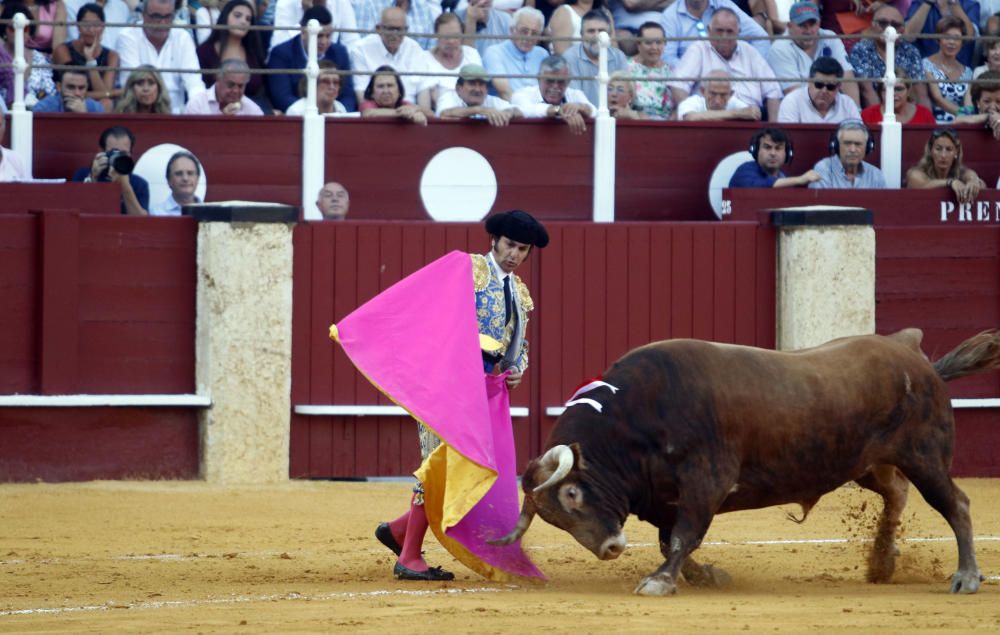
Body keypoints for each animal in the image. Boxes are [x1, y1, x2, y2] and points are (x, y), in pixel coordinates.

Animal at [494, 328, 1000, 596]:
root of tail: (913, 354)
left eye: (573, 493)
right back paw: (881, 562)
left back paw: (966, 576)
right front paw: (705, 575)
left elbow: (683, 536)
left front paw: (660, 582)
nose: (611, 548)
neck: (634, 418)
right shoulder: (666, 496)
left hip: (925, 455)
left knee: (955, 504)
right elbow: (671, 540)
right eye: (555, 520)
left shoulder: (707, 480)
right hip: (866, 463)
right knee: (896, 491)